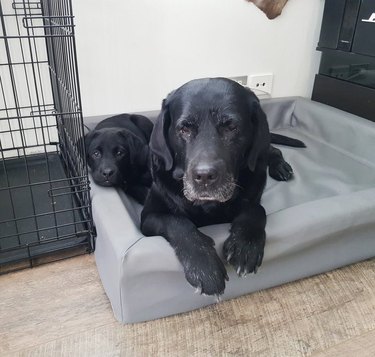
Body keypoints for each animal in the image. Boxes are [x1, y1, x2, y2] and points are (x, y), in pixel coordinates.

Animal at [141, 77, 306, 294]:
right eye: (184, 128)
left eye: (231, 127)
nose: (204, 176)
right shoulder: (148, 217)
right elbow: (177, 222)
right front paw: (203, 266)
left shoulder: (254, 195)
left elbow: (257, 209)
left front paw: (245, 245)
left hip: (261, 151)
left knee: (272, 149)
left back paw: (281, 167)